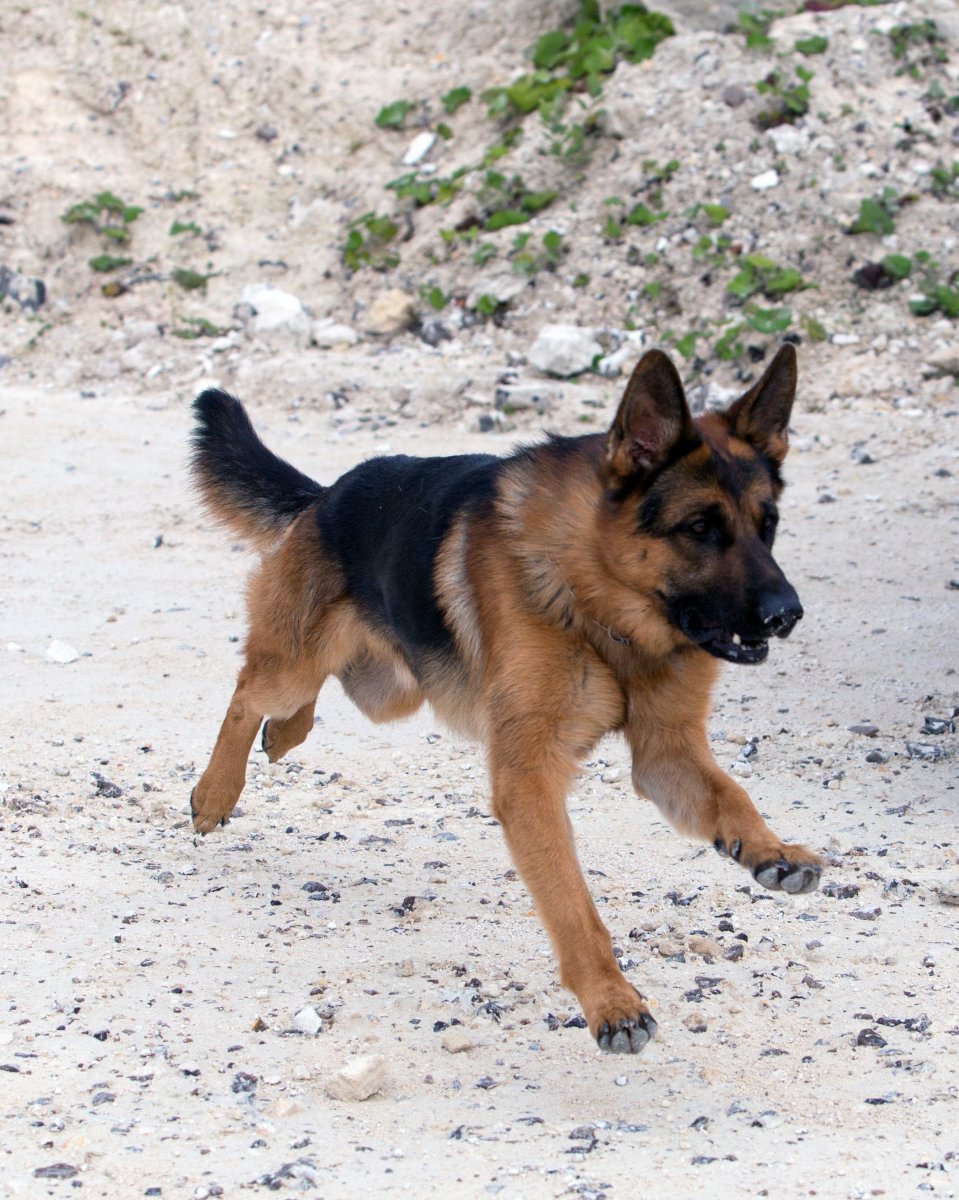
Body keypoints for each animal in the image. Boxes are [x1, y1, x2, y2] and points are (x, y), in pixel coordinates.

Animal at [189, 343, 821, 1054]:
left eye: (768, 526)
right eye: (701, 528)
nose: (787, 614)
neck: (597, 599)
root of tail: (326, 497)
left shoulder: (667, 755)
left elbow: (733, 796)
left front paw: (771, 849)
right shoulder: (528, 778)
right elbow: (572, 903)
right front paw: (610, 999)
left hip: (392, 688)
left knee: (318, 692)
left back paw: (285, 734)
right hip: (301, 666)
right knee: (250, 689)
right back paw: (216, 792)